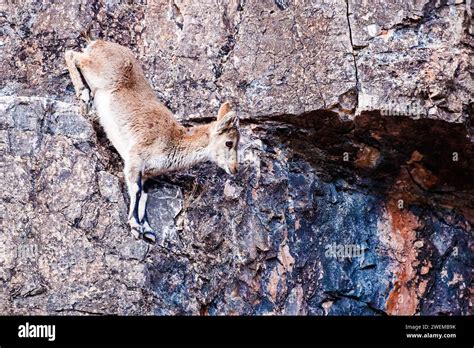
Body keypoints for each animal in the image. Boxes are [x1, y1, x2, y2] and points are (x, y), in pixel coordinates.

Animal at [65, 34, 239, 242]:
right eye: (229, 143)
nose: (235, 168)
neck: (173, 141)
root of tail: (98, 43)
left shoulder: (146, 173)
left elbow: (145, 196)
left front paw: (147, 229)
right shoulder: (136, 156)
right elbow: (136, 191)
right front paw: (135, 226)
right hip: (98, 71)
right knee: (72, 54)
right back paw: (83, 93)